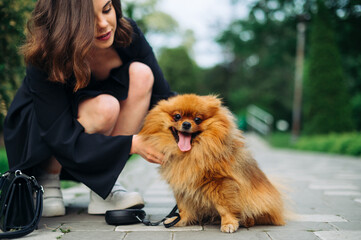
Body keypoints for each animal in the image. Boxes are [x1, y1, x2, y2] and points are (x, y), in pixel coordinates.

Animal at [138, 94, 284, 232]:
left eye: (197, 119)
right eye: (177, 116)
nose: (186, 124)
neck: (190, 154)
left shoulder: (220, 183)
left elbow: (225, 207)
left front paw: (229, 223)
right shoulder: (181, 185)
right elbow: (183, 207)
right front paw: (180, 220)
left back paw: (246, 221)